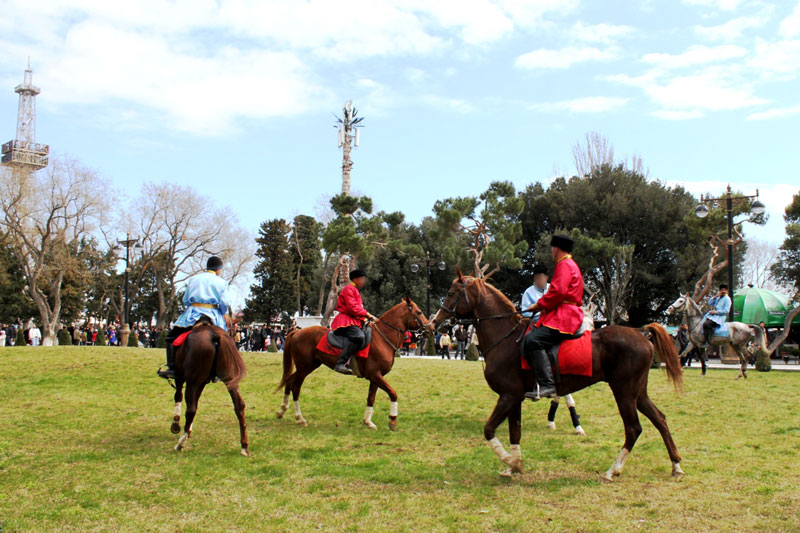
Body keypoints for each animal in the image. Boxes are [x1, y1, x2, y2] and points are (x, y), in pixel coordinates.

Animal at [170, 318, 249, 456]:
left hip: (192, 380)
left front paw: (176, 425)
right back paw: (244, 446)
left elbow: (179, 396)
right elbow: (196, 400)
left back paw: (180, 444)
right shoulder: (201, 382)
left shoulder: (181, 377)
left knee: (191, 409)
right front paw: (188, 429)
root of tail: (214, 335)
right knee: (239, 405)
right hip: (229, 378)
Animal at [276, 296, 431, 431]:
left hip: (308, 366)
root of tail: (296, 332)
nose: (431, 328)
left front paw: (367, 421)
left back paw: (282, 410)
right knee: (295, 387)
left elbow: (371, 398)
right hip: (304, 368)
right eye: (419, 312)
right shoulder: (375, 375)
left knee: (289, 382)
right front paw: (392, 420)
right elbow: (393, 393)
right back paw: (299, 418)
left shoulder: (375, 377)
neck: (382, 337)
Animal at [432, 270, 684, 482]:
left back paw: (613, 470)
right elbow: (515, 432)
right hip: (638, 393)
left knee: (633, 429)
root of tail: (640, 332)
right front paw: (514, 465)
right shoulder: (514, 399)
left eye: (451, 293)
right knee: (660, 419)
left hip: (624, 392)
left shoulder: (508, 396)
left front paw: (510, 462)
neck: (506, 338)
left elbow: (489, 429)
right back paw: (676, 465)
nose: (435, 322)